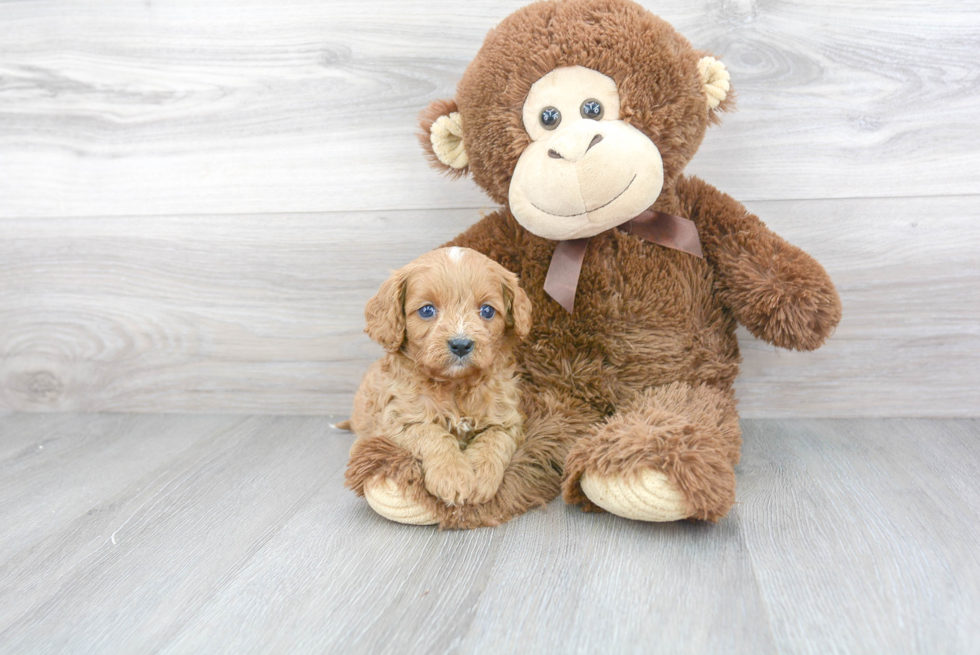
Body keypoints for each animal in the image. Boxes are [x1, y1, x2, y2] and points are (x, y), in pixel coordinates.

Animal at [344, 246, 528, 508]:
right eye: (427, 310)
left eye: (487, 311)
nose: (461, 344)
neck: (456, 385)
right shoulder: (399, 419)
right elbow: (432, 434)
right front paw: (452, 476)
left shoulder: (507, 419)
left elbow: (494, 441)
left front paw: (480, 476)